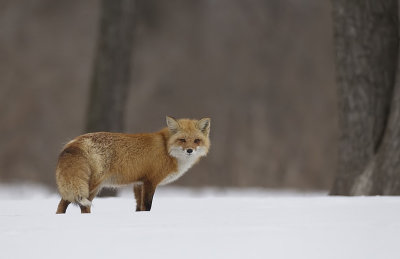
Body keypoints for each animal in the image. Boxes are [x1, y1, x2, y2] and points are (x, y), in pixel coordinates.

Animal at [56, 117, 212, 214]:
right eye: (182, 140)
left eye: (196, 140)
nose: (190, 150)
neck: (166, 149)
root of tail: (74, 142)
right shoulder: (150, 181)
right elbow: (147, 205)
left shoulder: (139, 183)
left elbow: (138, 207)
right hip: (91, 185)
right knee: (65, 203)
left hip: (92, 188)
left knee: (78, 206)